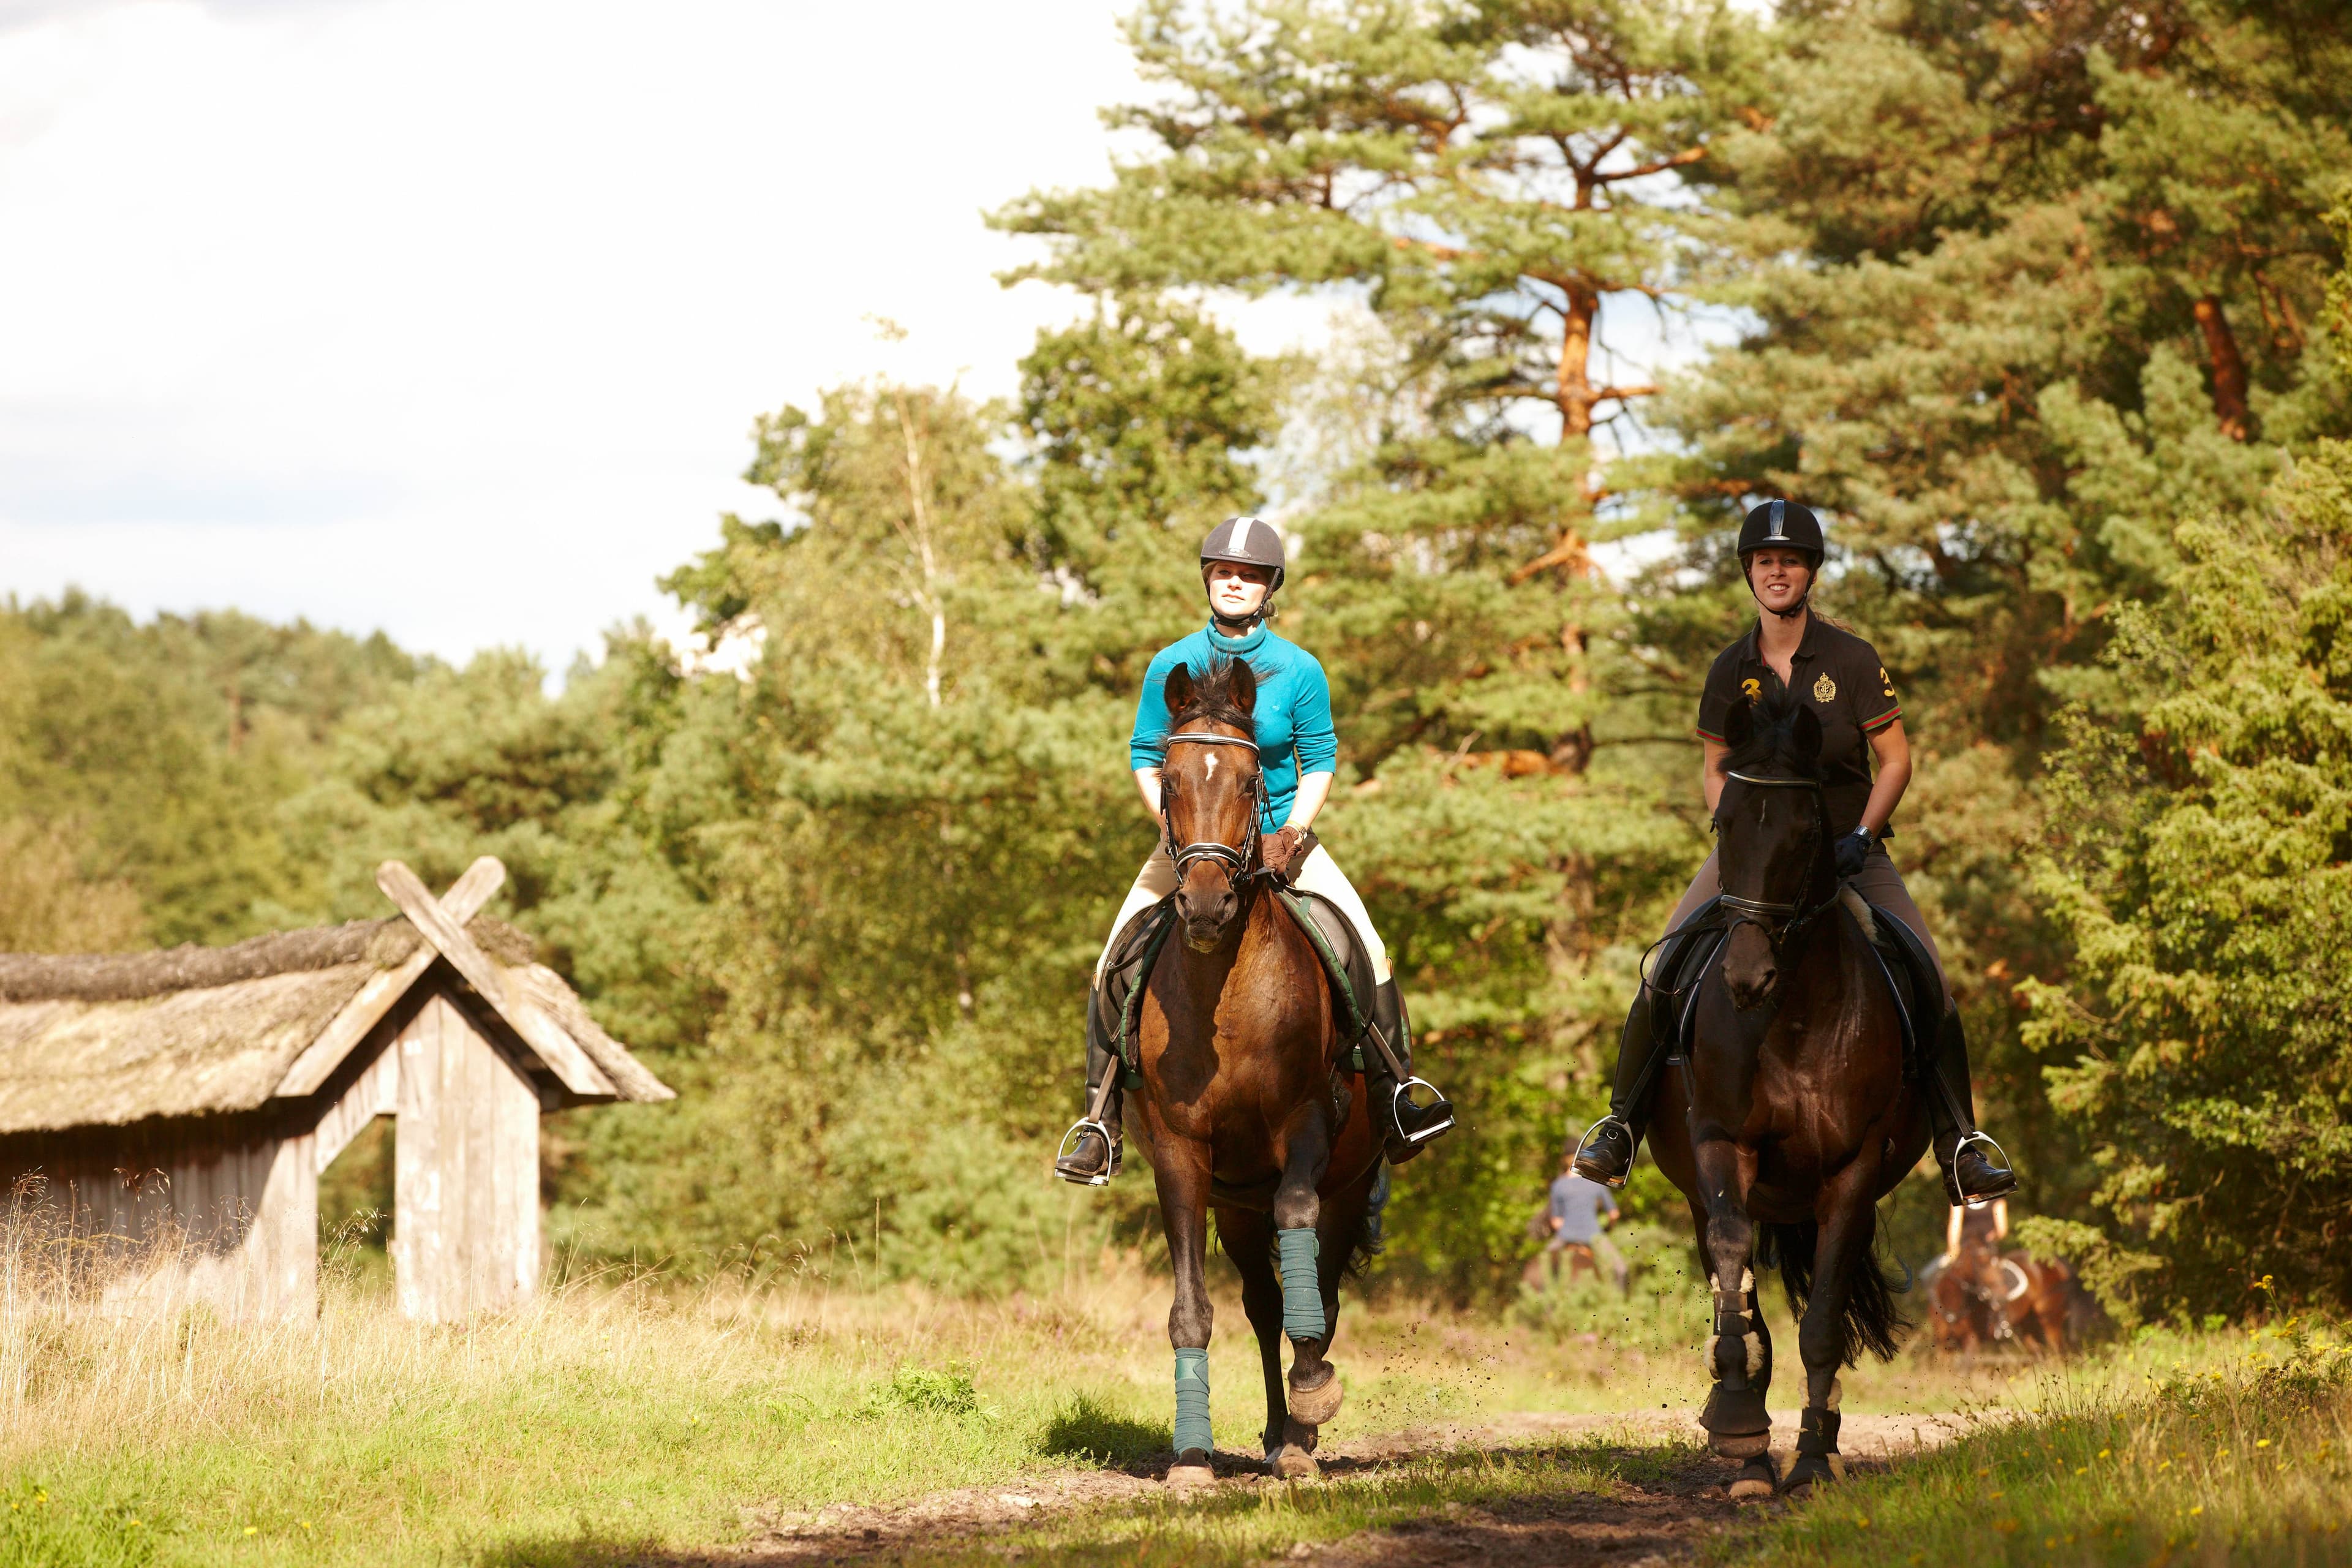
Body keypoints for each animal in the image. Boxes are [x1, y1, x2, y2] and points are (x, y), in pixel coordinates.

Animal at [1129, 658, 1382, 1485]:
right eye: (1171, 780)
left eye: (1248, 782)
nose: (1206, 904)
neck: (1225, 1000)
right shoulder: (1181, 1155)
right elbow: (1193, 1308)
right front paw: (1191, 1455)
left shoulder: (1305, 1126)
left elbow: (1298, 1219)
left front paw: (1314, 1395)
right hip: (1237, 1204)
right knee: (1266, 1303)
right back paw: (1277, 1433)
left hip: (1350, 1181)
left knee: (1321, 1294)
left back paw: (1301, 1431)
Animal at [1637, 696, 1928, 1495]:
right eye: (1724, 824)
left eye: (1804, 831)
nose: (1745, 977)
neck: (1793, 1014)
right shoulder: (1721, 1145)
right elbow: (1737, 1277)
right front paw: (1740, 1427)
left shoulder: (1853, 1171)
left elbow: (1822, 1319)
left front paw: (1814, 1458)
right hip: (1703, 1191)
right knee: (1735, 1289)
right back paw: (1743, 1436)